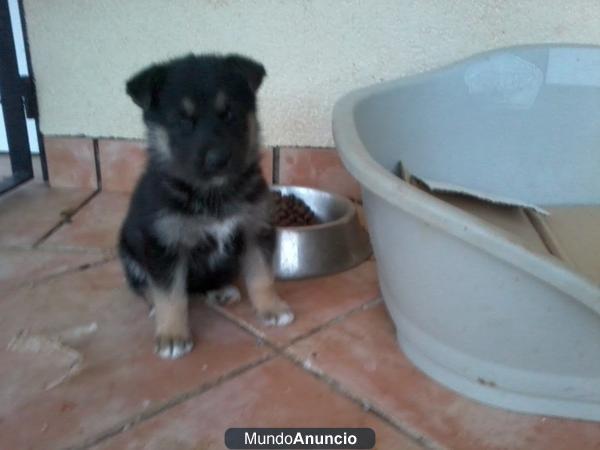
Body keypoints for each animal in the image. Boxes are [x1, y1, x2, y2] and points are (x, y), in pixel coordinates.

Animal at [118, 53, 296, 358]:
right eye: (183, 121)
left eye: (229, 114)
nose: (217, 160)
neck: (213, 193)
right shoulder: (164, 246)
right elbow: (170, 296)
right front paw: (172, 335)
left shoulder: (255, 229)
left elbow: (262, 275)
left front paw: (271, 307)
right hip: (130, 253)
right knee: (145, 287)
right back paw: (154, 307)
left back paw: (220, 291)